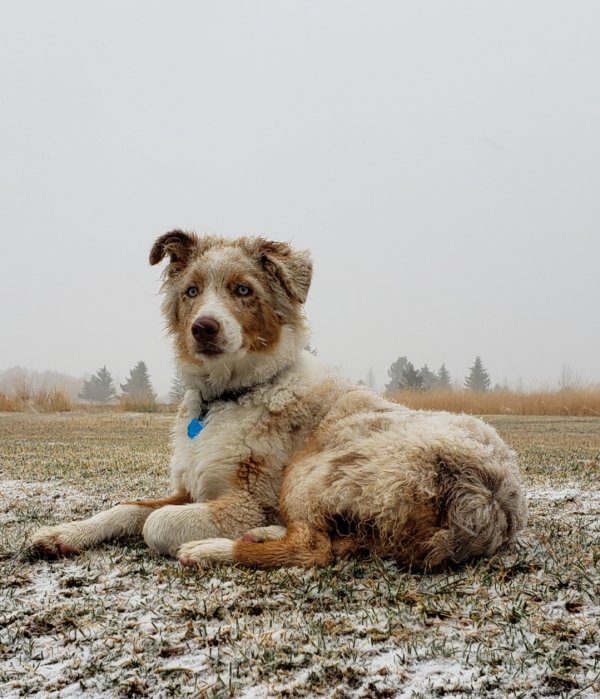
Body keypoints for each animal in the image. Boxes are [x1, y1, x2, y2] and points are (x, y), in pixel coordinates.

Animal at [31, 232, 524, 572]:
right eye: (191, 291)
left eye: (243, 290)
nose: (204, 328)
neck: (229, 396)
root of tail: (490, 500)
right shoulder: (190, 488)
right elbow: (127, 508)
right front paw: (64, 533)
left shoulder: (251, 499)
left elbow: (158, 523)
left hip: (316, 468)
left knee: (314, 548)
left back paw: (216, 548)